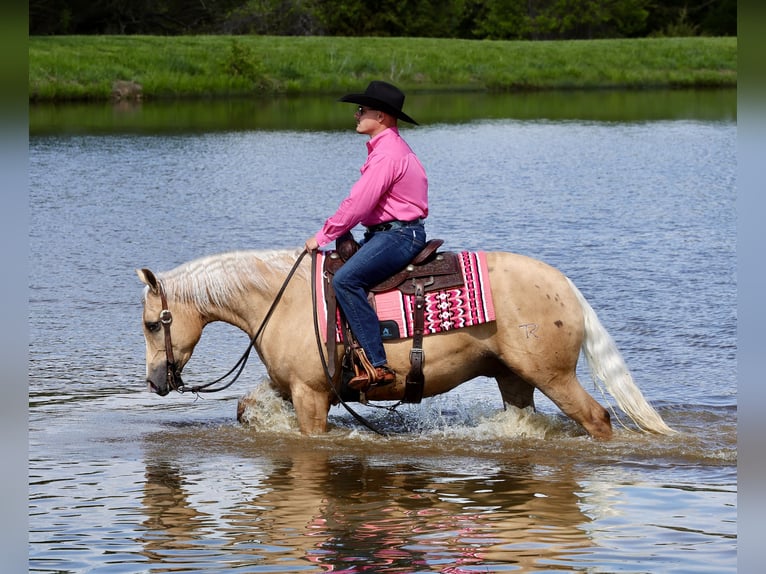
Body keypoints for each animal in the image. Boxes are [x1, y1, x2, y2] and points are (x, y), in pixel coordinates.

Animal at [136, 248, 674, 440]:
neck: (281, 299)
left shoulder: (311, 395)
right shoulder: (287, 385)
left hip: (554, 376)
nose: (156, 382)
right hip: (515, 378)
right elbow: (245, 407)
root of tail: (567, 287)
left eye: (150, 324)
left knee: (597, 418)